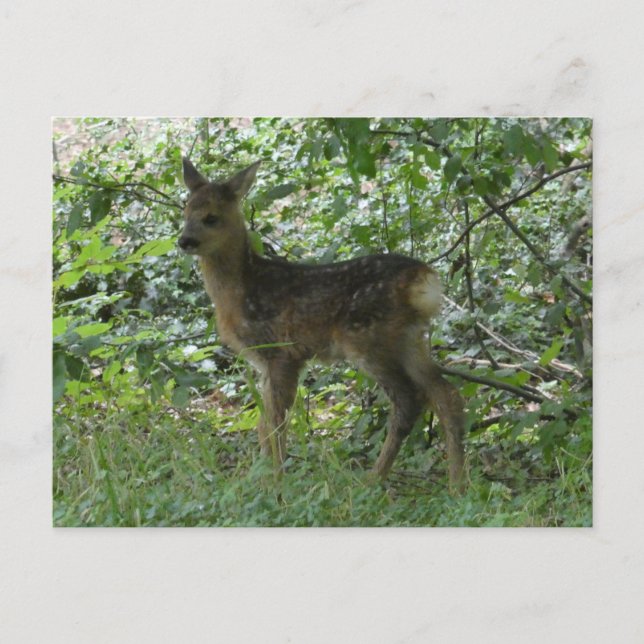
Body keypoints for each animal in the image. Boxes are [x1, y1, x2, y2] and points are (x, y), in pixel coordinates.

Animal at [178, 158, 466, 491]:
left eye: (211, 217)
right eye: (185, 212)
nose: (184, 241)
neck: (242, 289)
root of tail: (423, 279)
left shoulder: (281, 351)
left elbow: (274, 422)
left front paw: (273, 482)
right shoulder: (266, 362)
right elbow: (264, 423)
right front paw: (260, 477)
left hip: (367, 338)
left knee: (409, 401)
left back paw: (373, 480)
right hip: (411, 338)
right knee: (446, 394)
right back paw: (457, 484)